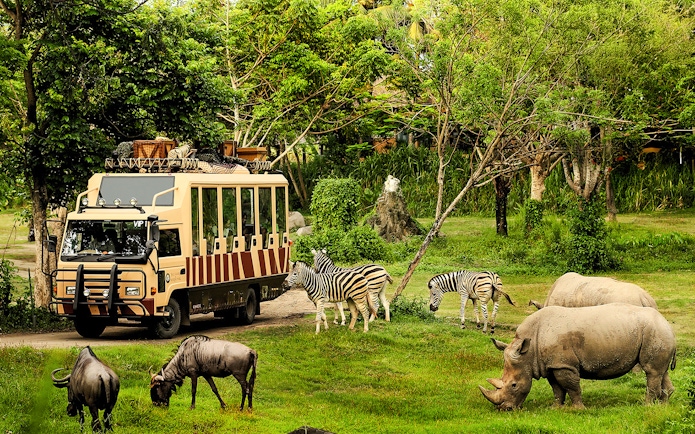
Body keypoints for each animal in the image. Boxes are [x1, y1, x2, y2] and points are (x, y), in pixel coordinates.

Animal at [479, 303, 676, 411]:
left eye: (513, 385)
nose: (505, 409)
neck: (529, 351)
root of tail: (667, 323)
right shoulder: (551, 365)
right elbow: (557, 389)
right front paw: (555, 408)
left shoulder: (564, 365)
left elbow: (572, 387)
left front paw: (578, 409)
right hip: (658, 332)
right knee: (661, 372)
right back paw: (663, 406)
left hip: (654, 331)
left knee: (651, 371)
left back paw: (646, 406)